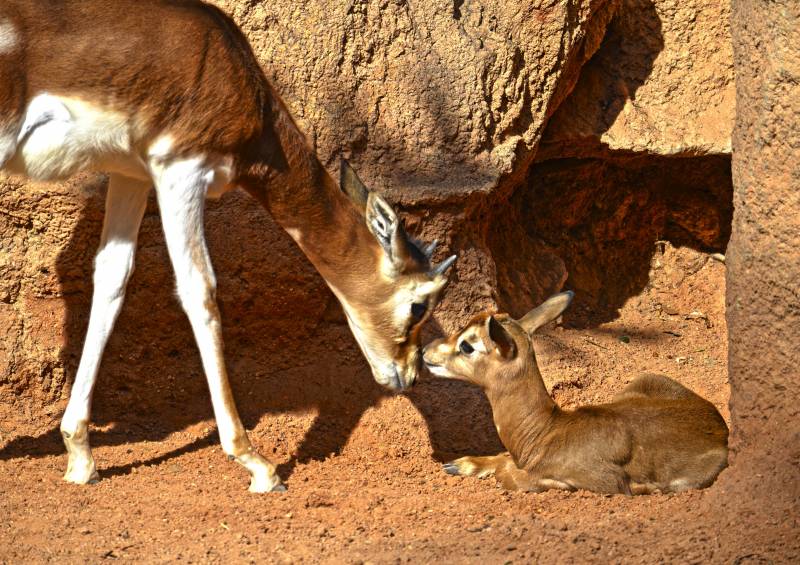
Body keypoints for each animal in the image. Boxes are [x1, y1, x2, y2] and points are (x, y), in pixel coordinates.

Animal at [0, 0, 454, 492]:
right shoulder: (181, 169)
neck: (228, 65)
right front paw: (258, 464)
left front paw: (81, 457)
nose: (408, 375)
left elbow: (112, 280)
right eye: (419, 304)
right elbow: (201, 291)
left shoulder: (131, 173)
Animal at [424, 290, 732, 494]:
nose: (426, 350)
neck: (544, 434)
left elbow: (510, 474)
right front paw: (458, 465)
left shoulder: (602, 483)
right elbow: (500, 459)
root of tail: (719, 428)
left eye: (467, 345)